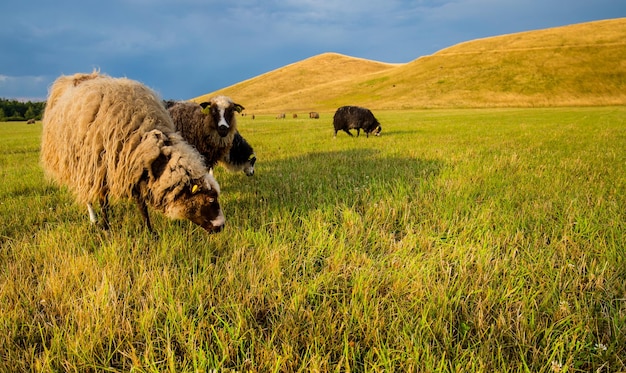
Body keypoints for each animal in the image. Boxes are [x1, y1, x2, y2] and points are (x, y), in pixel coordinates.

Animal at [40, 70, 224, 232]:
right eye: (210, 199)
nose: (221, 227)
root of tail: (76, 77)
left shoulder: (134, 168)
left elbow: (141, 204)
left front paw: (149, 231)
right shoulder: (101, 167)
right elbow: (103, 200)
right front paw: (107, 227)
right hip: (79, 164)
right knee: (88, 195)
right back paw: (94, 219)